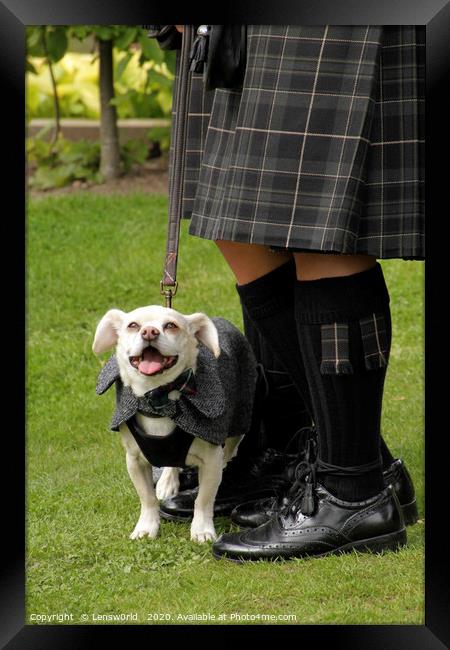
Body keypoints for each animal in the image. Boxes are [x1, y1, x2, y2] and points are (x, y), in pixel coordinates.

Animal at [94, 306, 256, 540]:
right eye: (133, 325)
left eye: (171, 325)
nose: (149, 331)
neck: (157, 399)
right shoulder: (134, 460)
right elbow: (147, 498)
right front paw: (147, 527)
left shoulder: (211, 460)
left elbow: (203, 499)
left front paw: (202, 529)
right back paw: (167, 481)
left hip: (239, 425)